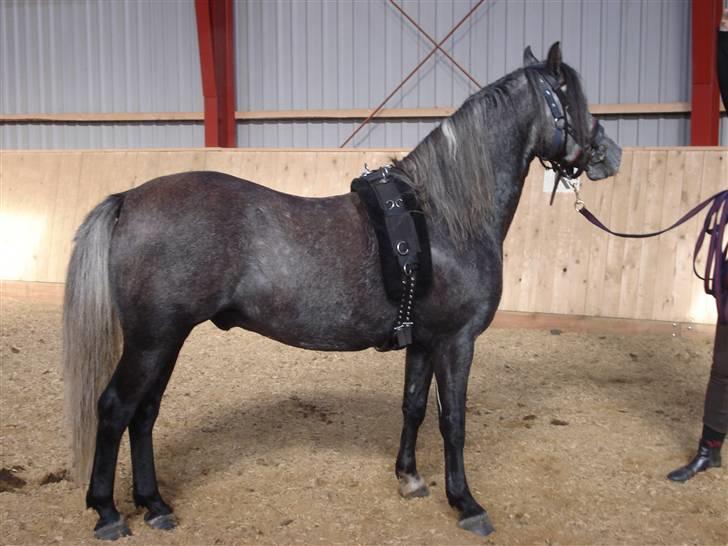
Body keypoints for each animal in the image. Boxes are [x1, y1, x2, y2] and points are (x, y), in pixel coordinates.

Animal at [62, 43, 621, 540]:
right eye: (570, 95)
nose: (609, 153)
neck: (443, 219)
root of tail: (129, 198)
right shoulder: (456, 341)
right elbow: (454, 420)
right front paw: (466, 503)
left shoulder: (423, 341)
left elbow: (414, 407)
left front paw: (409, 478)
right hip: (152, 340)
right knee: (115, 408)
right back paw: (107, 512)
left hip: (167, 339)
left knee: (144, 414)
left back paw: (154, 504)